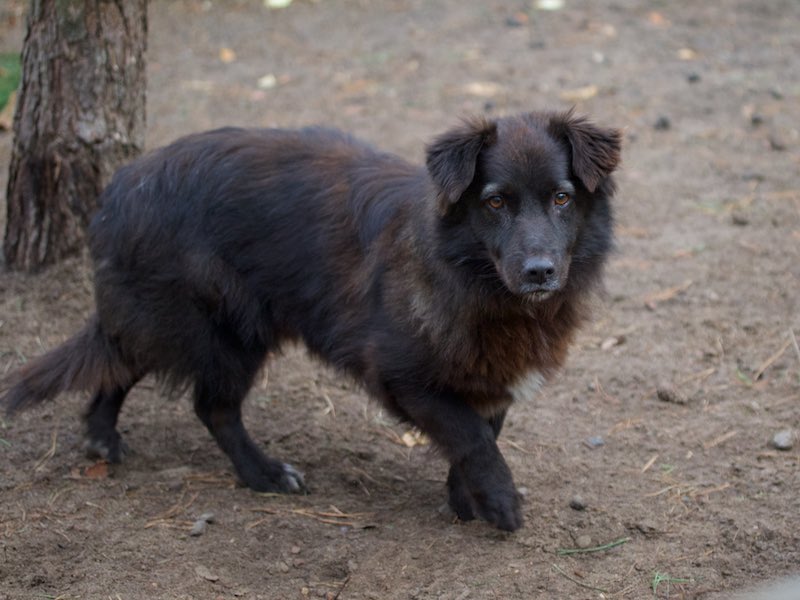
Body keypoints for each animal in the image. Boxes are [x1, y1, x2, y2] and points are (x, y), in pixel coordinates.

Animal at [2, 110, 621, 531]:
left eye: (562, 198)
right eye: (495, 202)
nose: (540, 271)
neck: (472, 275)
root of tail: (118, 192)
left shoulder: (488, 375)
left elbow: (482, 429)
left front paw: (466, 499)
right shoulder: (400, 376)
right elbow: (471, 436)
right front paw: (499, 500)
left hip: (178, 322)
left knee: (122, 358)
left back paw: (101, 436)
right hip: (227, 331)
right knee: (210, 406)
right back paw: (263, 475)